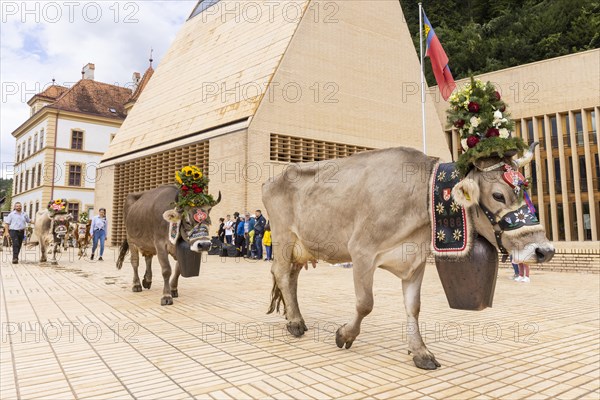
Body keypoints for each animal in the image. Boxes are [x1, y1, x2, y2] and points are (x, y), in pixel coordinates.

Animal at [116, 167, 219, 304]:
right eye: (187, 222)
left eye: (208, 221)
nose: (205, 245)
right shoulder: (160, 244)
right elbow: (166, 270)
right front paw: (166, 296)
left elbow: (178, 270)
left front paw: (173, 289)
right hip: (131, 240)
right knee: (135, 262)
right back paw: (137, 284)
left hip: (148, 242)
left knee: (148, 257)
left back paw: (147, 280)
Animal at [262, 79, 552, 370]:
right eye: (498, 195)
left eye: (526, 188)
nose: (545, 250)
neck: (418, 204)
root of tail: (272, 179)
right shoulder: (361, 251)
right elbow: (365, 303)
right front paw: (344, 334)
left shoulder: (415, 260)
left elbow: (414, 306)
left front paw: (420, 351)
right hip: (283, 237)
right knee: (281, 273)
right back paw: (295, 323)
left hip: (301, 245)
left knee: (292, 277)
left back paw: (295, 317)